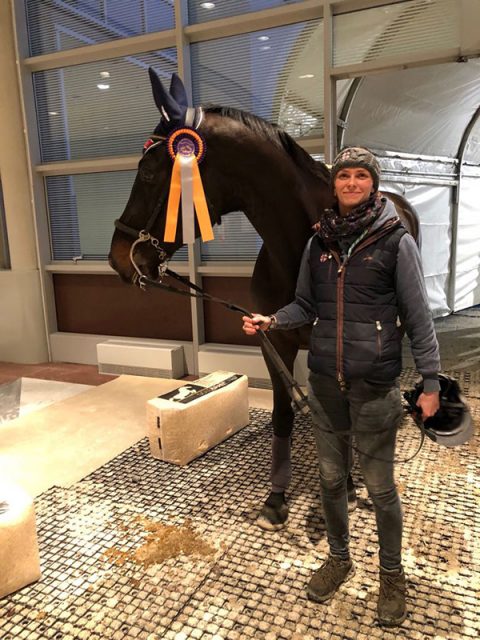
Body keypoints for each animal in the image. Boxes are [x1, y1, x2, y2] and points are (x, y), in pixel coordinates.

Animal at [107, 69, 418, 528]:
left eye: (147, 172)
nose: (117, 257)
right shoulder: (275, 341)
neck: (300, 245)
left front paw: (343, 486)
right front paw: (276, 497)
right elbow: (283, 415)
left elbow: (341, 419)